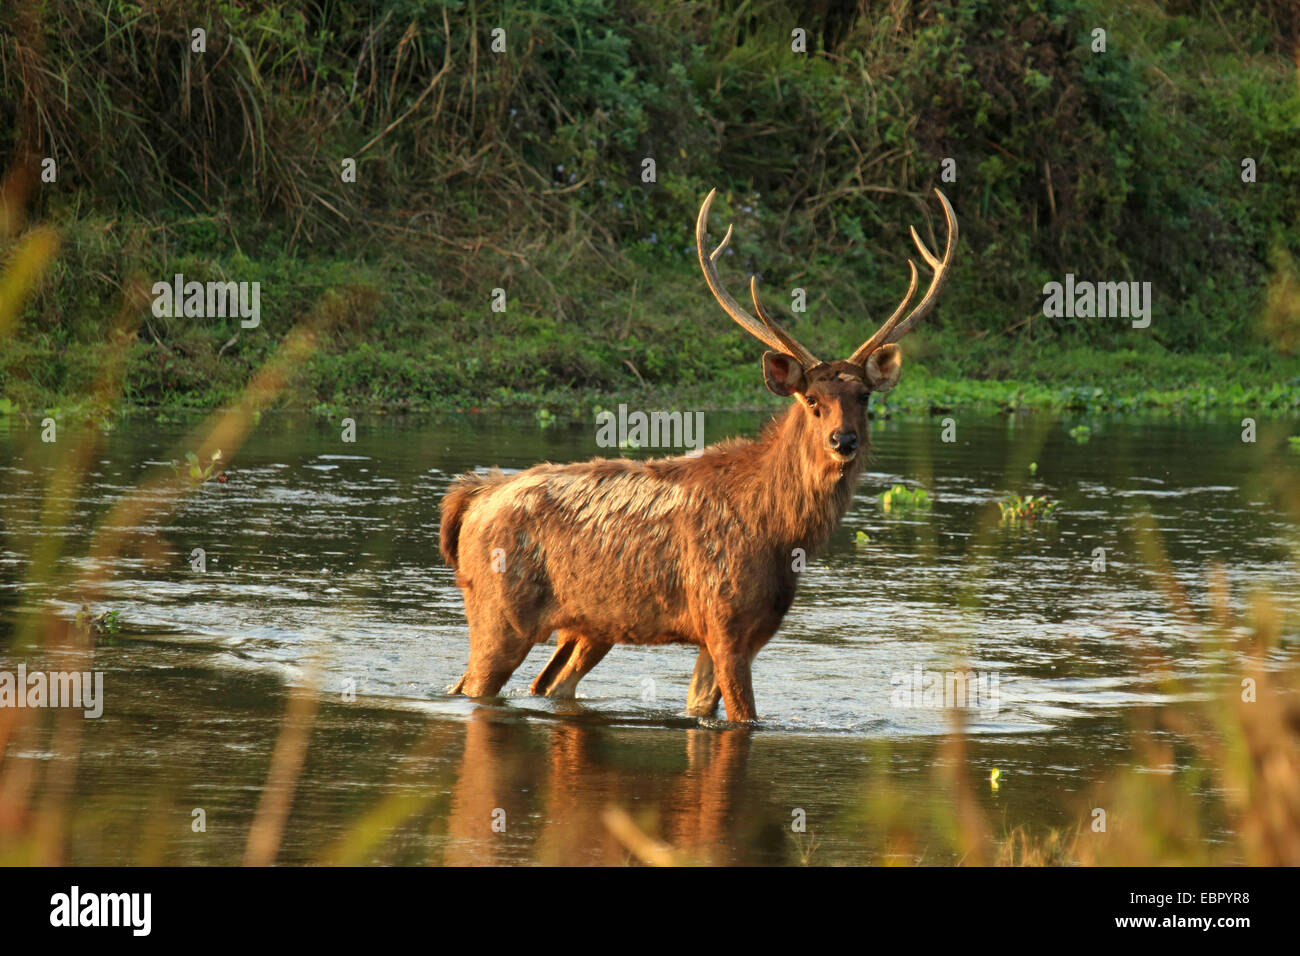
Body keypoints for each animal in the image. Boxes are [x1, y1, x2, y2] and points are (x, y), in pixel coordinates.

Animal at [439, 191, 956, 723]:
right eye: (812, 400)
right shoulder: (723, 617)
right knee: (471, 685)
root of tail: (470, 497)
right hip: (499, 612)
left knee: (547, 683)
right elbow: (746, 717)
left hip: (589, 624)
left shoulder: (745, 632)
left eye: (864, 398)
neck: (780, 532)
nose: (843, 441)